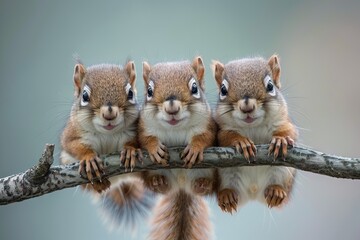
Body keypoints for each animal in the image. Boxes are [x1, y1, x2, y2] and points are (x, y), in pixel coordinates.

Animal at [138, 56, 217, 240]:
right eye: (149, 91)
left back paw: (203, 183)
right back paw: (158, 181)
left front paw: (195, 147)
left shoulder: (208, 124)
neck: (175, 128)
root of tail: (181, 188)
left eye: (194, 87)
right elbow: (145, 138)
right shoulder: (143, 126)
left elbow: (205, 137)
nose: (171, 107)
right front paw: (154, 148)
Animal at [211, 55, 298, 213]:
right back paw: (227, 195)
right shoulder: (222, 130)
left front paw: (280, 140)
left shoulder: (284, 122)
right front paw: (242, 142)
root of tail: (253, 193)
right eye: (223, 90)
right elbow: (225, 137)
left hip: (284, 172)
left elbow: (289, 132)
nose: (247, 107)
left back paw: (276, 191)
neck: (252, 127)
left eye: (270, 86)